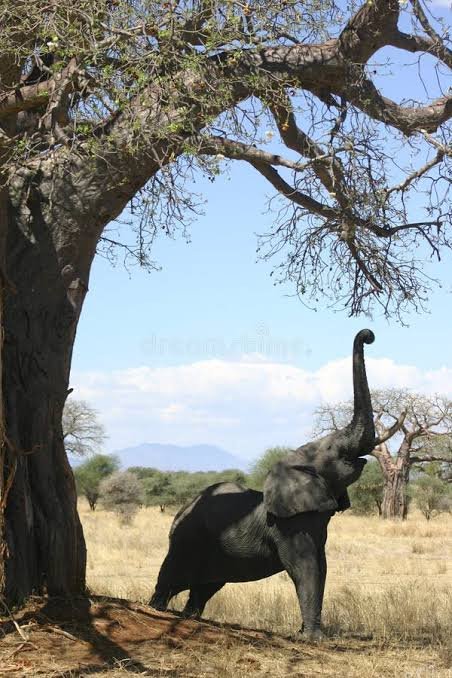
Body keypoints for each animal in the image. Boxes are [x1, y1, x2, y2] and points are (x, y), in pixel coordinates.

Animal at [149, 329, 376, 641]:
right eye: (334, 450)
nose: (368, 335)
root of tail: (181, 511)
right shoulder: (289, 525)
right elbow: (305, 567)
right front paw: (313, 638)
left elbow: (321, 566)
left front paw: (305, 633)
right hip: (187, 537)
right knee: (170, 578)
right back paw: (156, 610)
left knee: (202, 590)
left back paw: (190, 617)